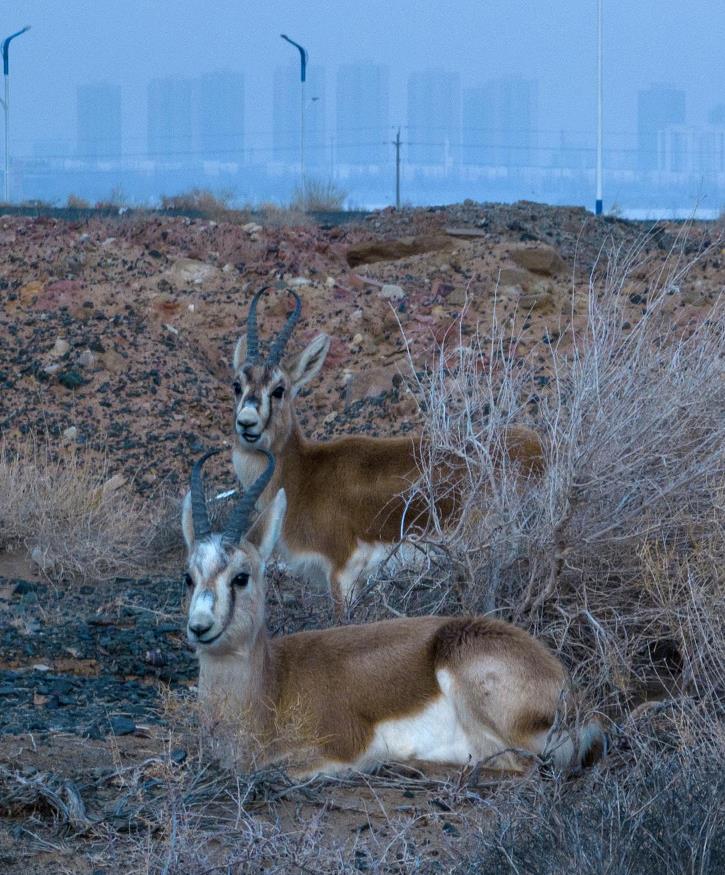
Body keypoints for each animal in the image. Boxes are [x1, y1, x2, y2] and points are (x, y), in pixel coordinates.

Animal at [182, 450, 605, 778]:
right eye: (189, 576)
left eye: (241, 576)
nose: (199, 628)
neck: (272, 688)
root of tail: (574, 698)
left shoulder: (344, 750)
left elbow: (283, 769)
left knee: (522, 769)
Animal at [231, 286, 545, 610]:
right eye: (237, 385)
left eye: (279, 389)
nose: (246, 423)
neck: (303, 476)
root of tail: (538, 449)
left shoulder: (342, 573)